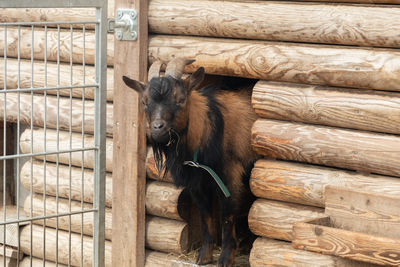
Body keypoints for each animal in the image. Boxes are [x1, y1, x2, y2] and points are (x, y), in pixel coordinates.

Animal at [122, 58, 260, 267]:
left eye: (180, 99)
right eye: (145, 102)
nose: (157, 128)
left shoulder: (230, 177)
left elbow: (227, 215)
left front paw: (225, 258)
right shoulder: (197, 184)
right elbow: (205, 215)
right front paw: (204, 256)